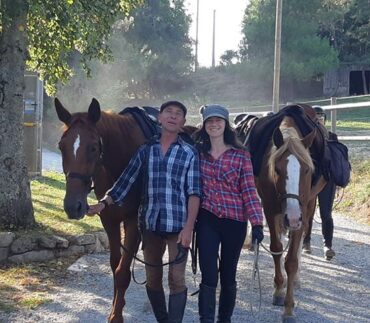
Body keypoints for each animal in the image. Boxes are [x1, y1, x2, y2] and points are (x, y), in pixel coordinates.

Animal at [54, 97, 152, 322]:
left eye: (92, 148)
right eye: (61, 146)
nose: (73, 206)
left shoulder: (133, 222)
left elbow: (123, 271)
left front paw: (116, 315)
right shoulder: (109, 220)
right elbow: (115, 266)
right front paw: (116, 306)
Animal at [247, 105, 328, 322]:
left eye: (307, 169)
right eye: (276, 168)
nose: (292, 217)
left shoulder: (302, 210)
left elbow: (291, 260)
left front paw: (289, 308)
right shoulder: (269, 208)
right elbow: (276, 248)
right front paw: (278, 290)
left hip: (306, 208)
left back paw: (297, 279)